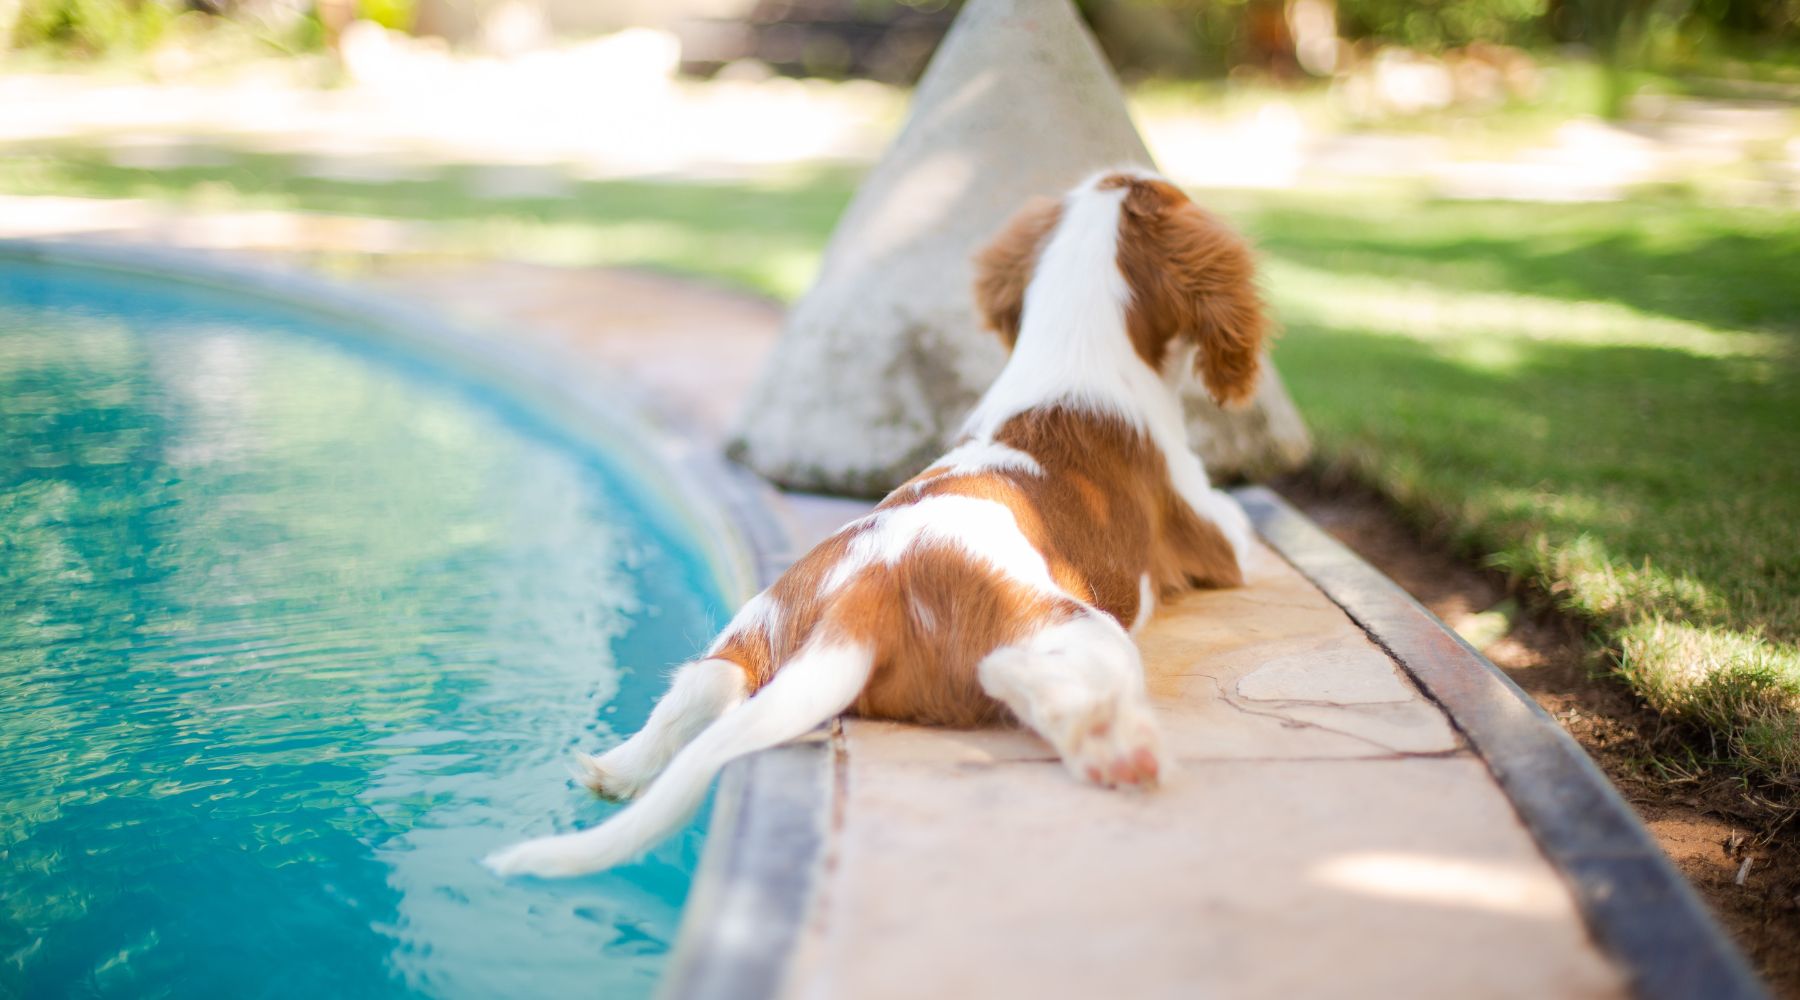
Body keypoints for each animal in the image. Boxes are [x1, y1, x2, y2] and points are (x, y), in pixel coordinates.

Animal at [482, 169, 1267, 874]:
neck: (1072, 353)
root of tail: (862, 599)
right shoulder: (1215, 533)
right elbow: (1240, 524)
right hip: (1074, 626)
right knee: (1028, 678)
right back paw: (1115, 748)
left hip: (755, 626)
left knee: (703, 686)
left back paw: (616, 768)